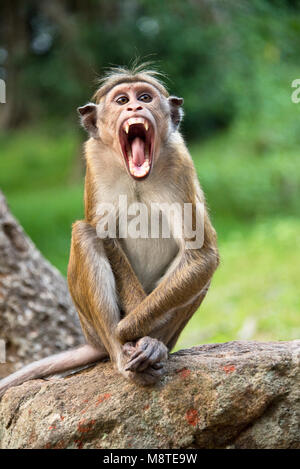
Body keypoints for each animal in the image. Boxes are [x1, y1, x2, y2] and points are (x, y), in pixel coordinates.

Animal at [0, 63, 220, 394]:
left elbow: (200, 254)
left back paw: (154, 345)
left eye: (145, 97)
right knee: (85, 234)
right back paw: (118, 353)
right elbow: (104, 236)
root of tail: (93, 343)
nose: (135, 107)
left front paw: (129, 330)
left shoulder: (180, 161)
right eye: (121, 100)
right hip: (89, 325)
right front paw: (121, 334)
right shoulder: (94, 160)